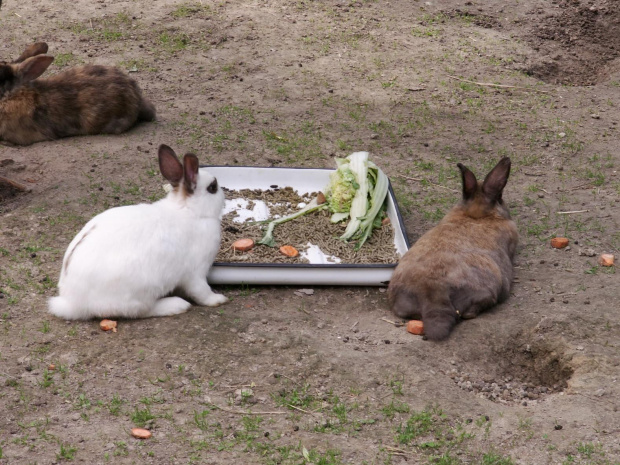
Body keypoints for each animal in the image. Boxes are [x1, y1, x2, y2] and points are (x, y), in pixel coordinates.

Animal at [48, 145, 228, 320]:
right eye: (212, 188)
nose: (224, 195)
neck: (190, 210)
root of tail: (73, 303)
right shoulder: (196, 273)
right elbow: (201, 291)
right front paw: (218, 299)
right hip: (140, 291)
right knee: (140, 311)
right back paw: (176, 305)